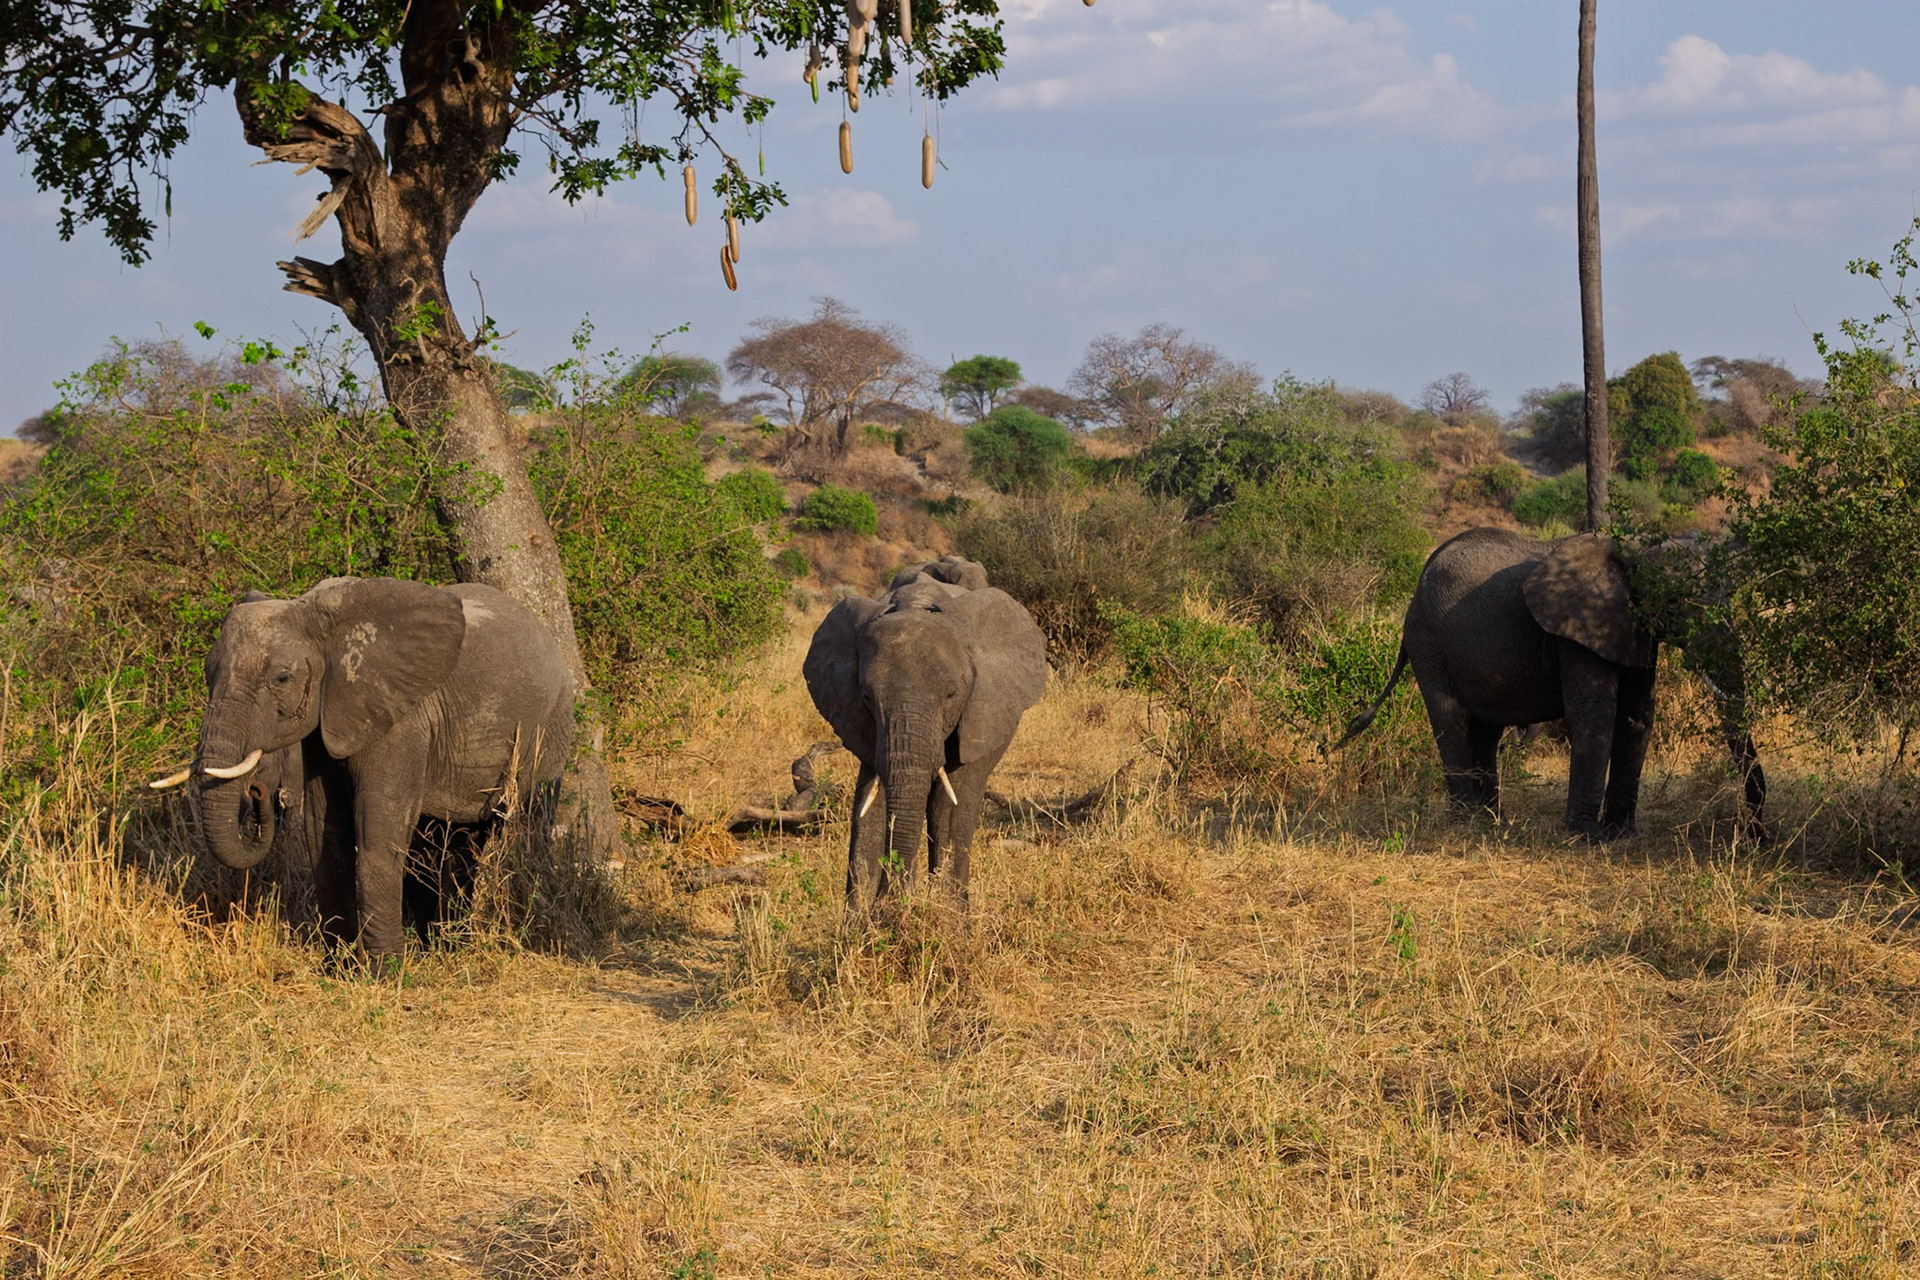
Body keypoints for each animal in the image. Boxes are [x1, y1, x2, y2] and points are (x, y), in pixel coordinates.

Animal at [151, 576, 575, 954]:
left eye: (282, 678)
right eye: (208, 672)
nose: (257, 792)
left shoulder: (403, 720)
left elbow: (377, 827)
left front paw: (386, 972)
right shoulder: (327, 719)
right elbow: (325, 827)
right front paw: (337, 965)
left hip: (550, 729)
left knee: (517, 826)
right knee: (450, 843)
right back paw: (445, 946)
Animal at [803, 558, 1048, 910]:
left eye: (951, 694)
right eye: (865, 696)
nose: (890, 902)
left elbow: (950, 809)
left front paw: (945, 918)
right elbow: (869, 807)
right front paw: (867, 921)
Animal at [1341, 527, 1765, 839]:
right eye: (1674, 600)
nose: (1755, 835)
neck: (1631, 548)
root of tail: (1416, 590)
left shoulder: (1631, 627)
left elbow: (1639, 714)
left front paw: (1622, 834)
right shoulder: (1576, 630)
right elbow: (1596, 713)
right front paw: (1587, 836)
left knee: (1485, 731)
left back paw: (1492, 821)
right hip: (1429, 642)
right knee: (1452, 721)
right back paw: (1469, 823)